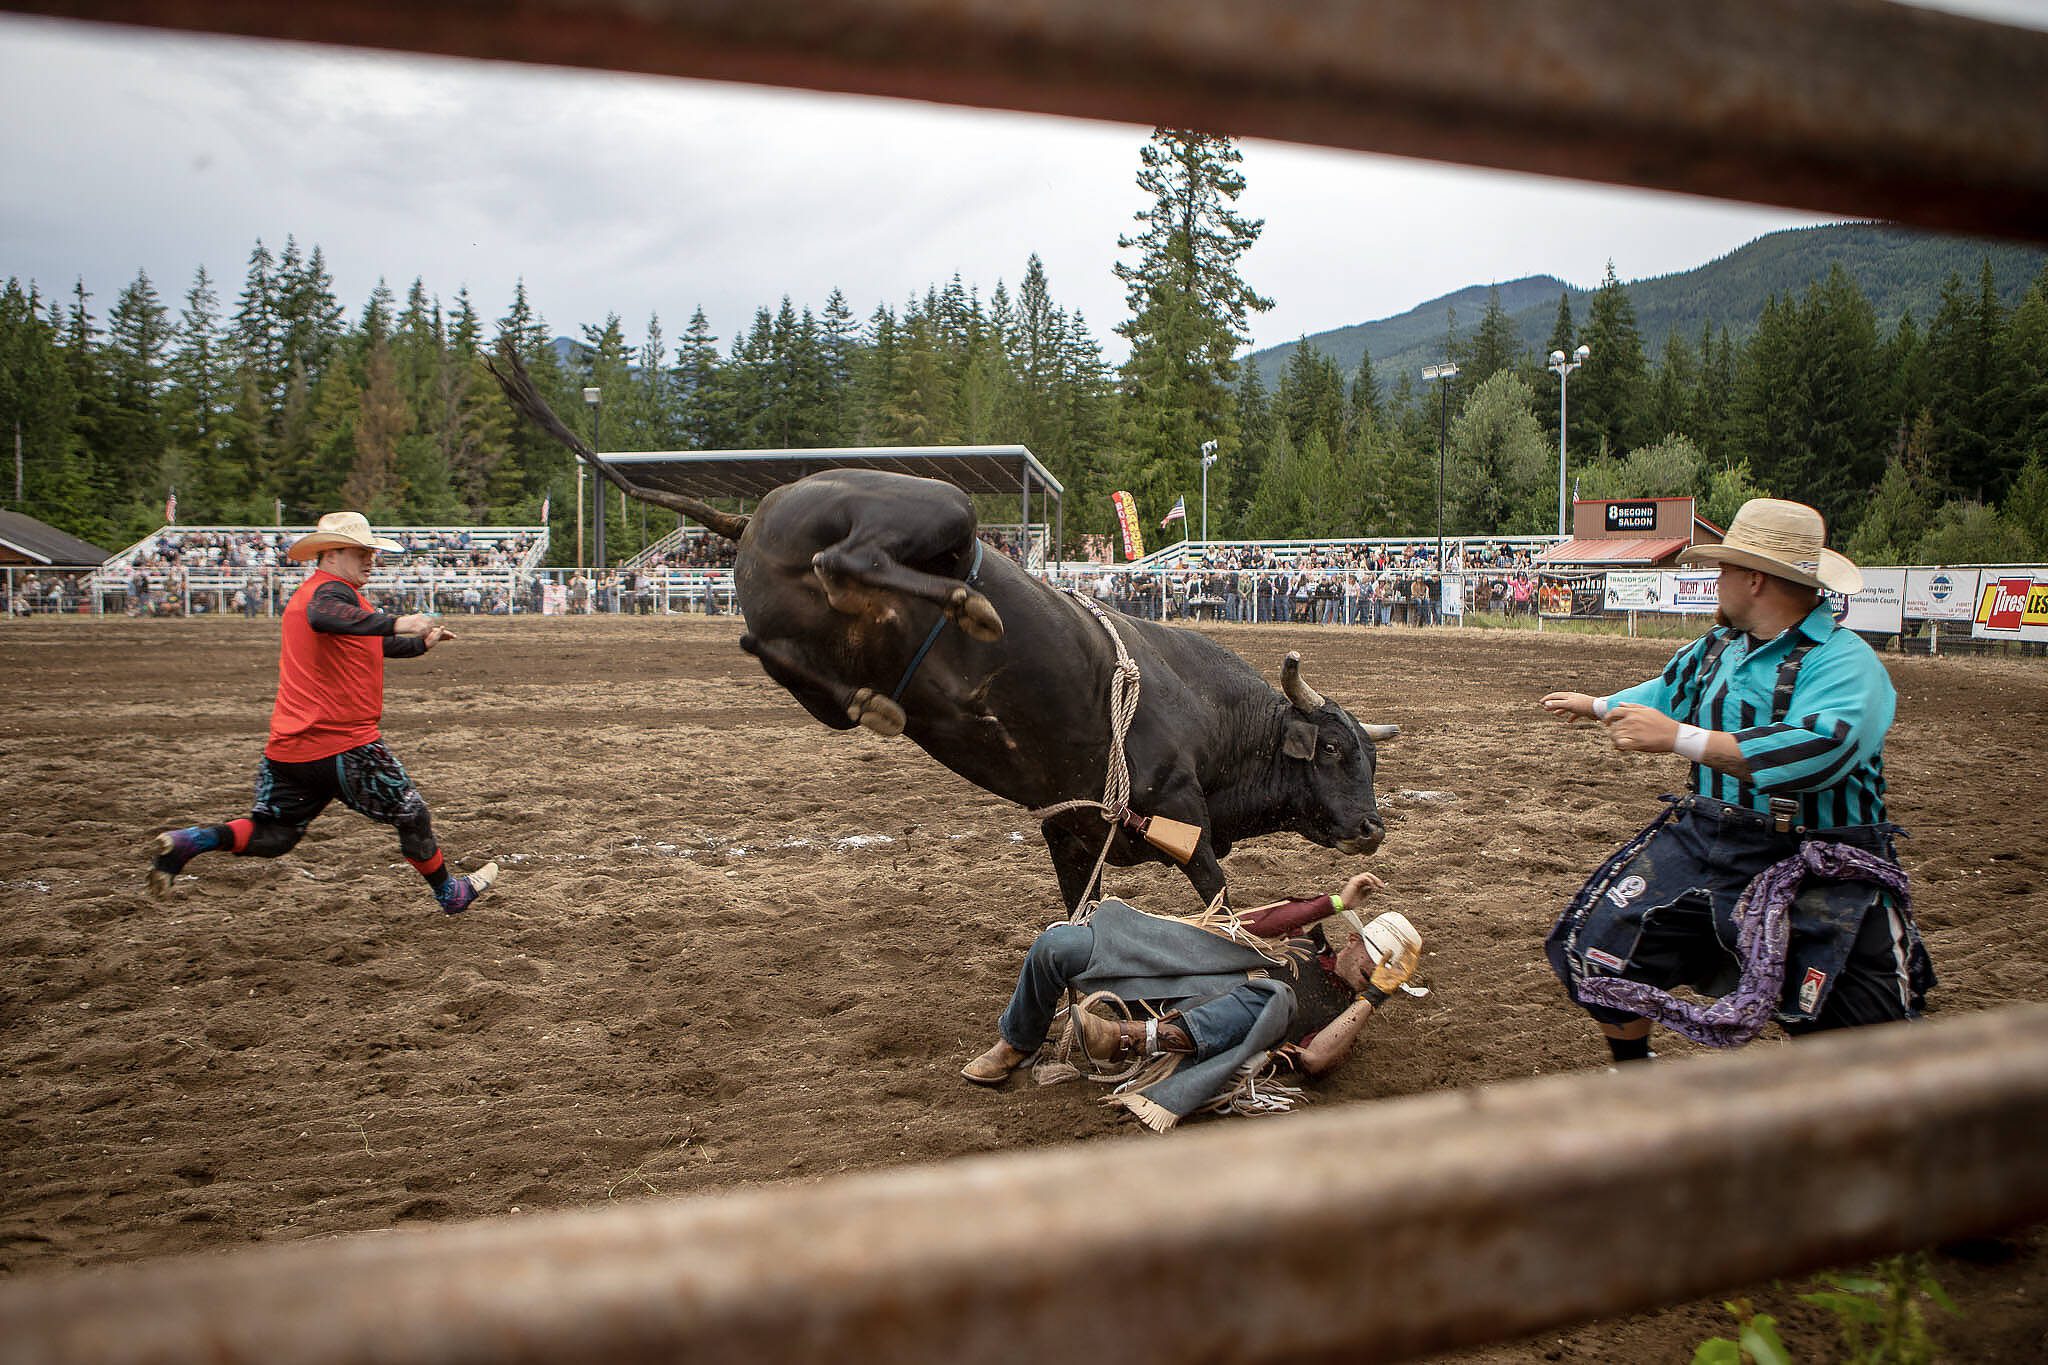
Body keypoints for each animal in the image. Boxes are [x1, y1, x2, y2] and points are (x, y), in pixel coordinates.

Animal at [487, 349, 1400, 908]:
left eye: (1372, 755)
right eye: (1332, 749)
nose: (1372, 828)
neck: (1211, 717)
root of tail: (753, 511)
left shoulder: (1072, 836)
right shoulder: (1182, 820)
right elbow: (1219, 899)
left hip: (795, 642)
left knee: (771, 647)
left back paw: (876, 698)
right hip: (942, 508)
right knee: (848, 560)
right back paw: (970, 604)